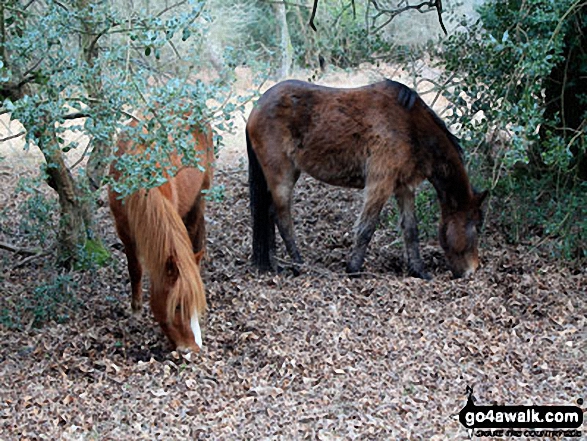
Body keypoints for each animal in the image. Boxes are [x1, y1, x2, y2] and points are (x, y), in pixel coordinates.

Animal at [108, 117, 214, 350]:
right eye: (178, 306)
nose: (194, 349)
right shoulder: (124, 232)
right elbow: (135, 269)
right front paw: (136, 309)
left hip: (201, 194)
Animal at [247, 78, 486, 278]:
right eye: (476, 226)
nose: (473, 270)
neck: (410, 125)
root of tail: (256, 108)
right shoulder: (380, 183)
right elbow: (366, 228)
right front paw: (353, 269)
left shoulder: (404, 186)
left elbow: (411, 230)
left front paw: (419, 271)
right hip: (281, 175)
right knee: (282, 217)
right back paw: (299, 264)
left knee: (269, 213)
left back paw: (274, 265)